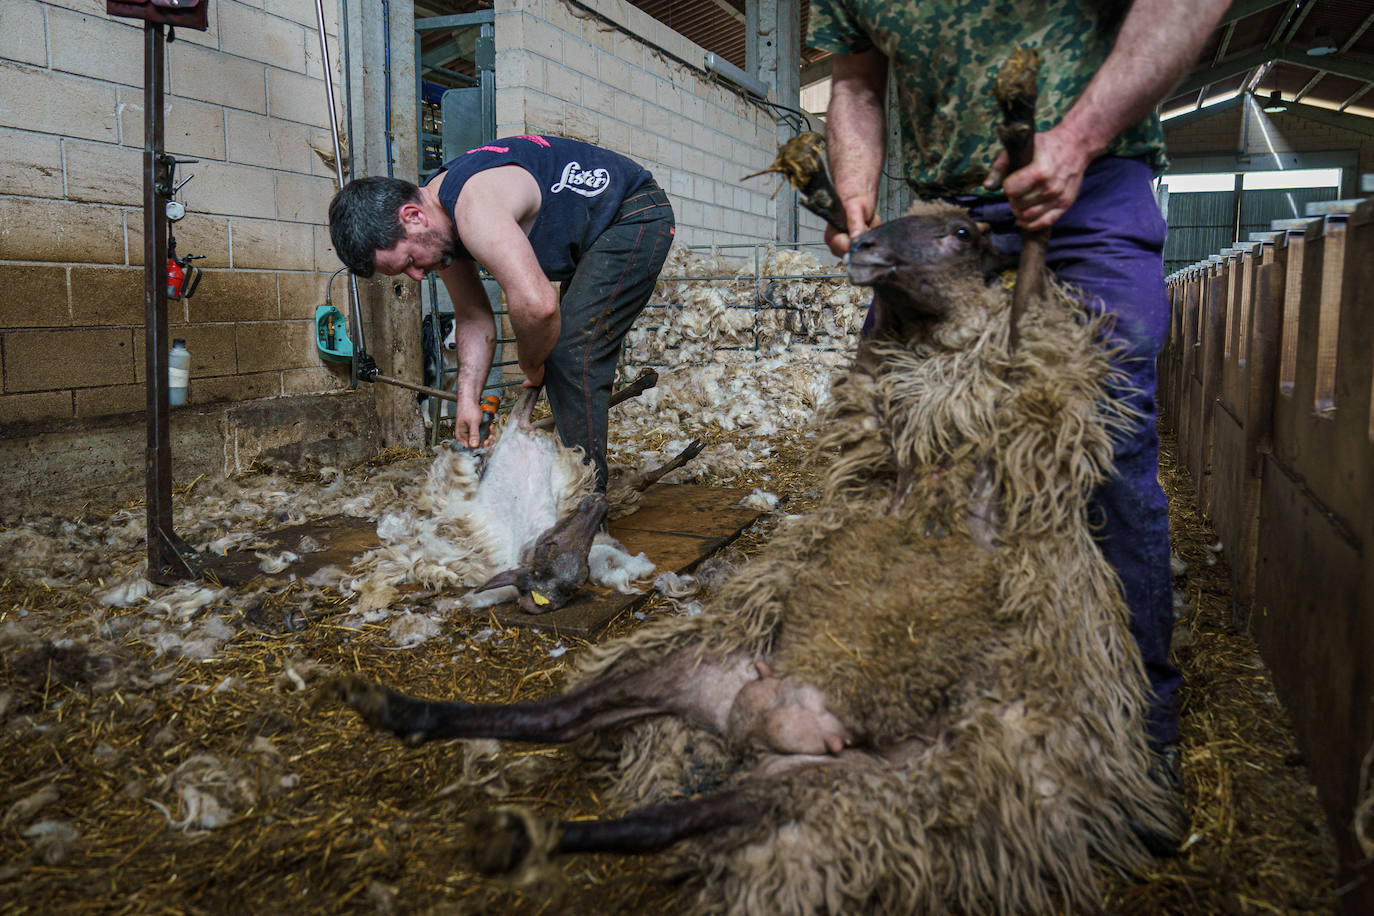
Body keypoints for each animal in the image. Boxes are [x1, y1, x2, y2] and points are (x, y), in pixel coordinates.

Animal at [332, 201, 1181, 916]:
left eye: (963, 232)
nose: (864, 247)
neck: (937, 460)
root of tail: (770, 720)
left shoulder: (1012, 422)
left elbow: (1022, 319)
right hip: (697, 679)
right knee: (559, 718)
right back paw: (412, 720)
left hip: (831, 784)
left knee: (652, 815)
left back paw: (516, 830)